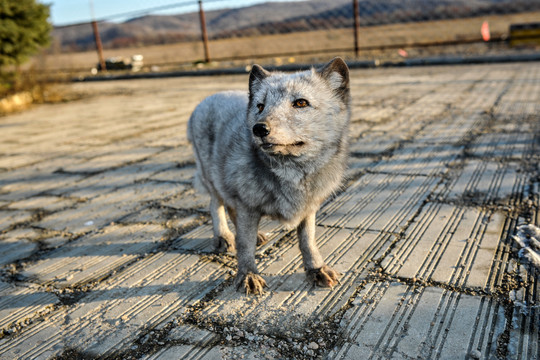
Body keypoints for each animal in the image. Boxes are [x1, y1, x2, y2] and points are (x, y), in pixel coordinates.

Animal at [188, 56, 352, 292]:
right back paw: (223, 236)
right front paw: (248, 274)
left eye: (301, 103)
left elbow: (308, 240)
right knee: (216, 205)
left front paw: (316, 268)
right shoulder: (247, 204)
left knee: (231, 209)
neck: (292, 172)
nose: (259, 129)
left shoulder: (308, 206)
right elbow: (245, 246)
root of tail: (208, 98)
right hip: (213, 178)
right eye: (260, 106)